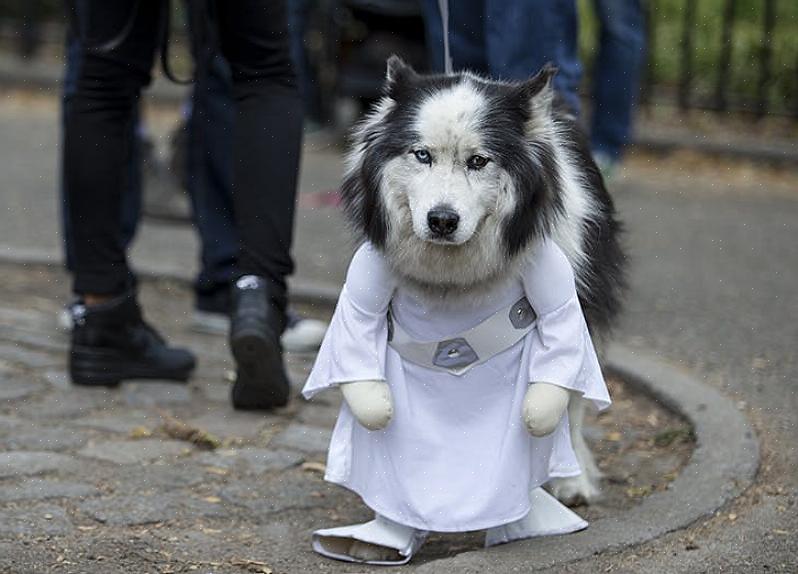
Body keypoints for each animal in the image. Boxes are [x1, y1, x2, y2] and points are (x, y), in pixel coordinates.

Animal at [340, 56, 628, 506]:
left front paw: (571, 478)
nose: (441, 220)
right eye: (422, 155)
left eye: (478, 161)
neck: (459, 272)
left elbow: (566, 393)